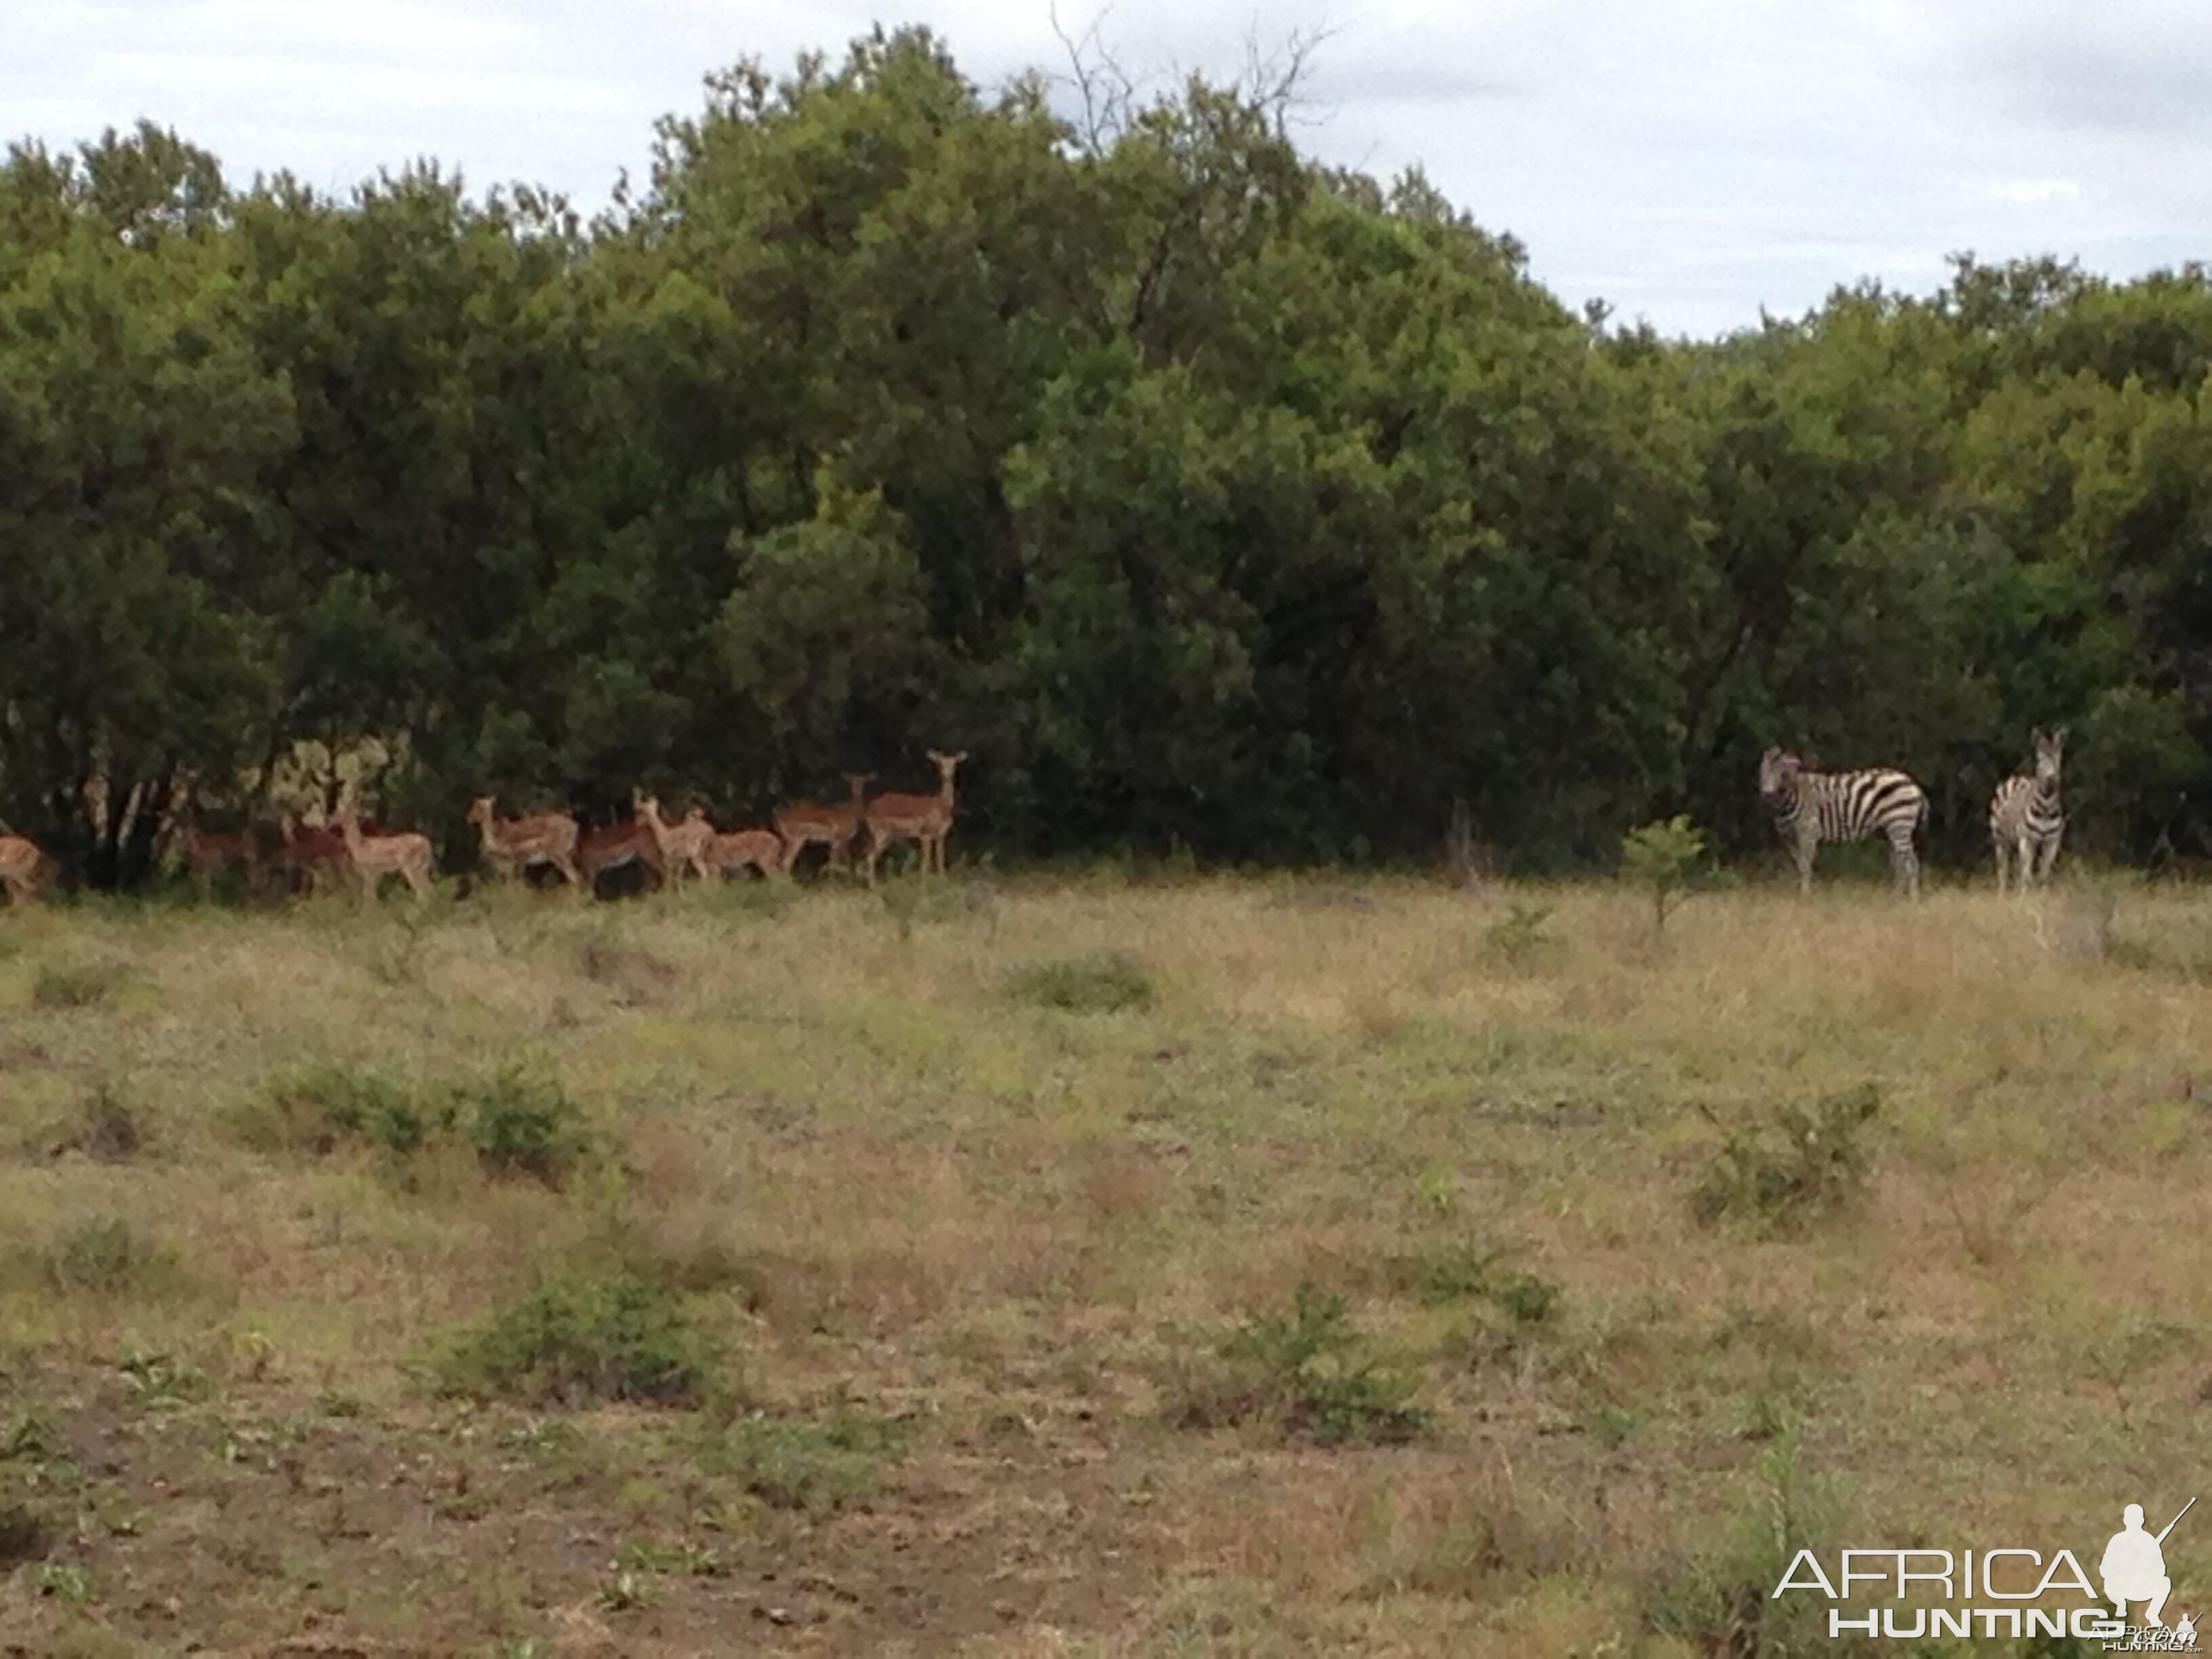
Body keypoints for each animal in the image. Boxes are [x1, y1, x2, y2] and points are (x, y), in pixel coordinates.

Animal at [1752, 752, 1929, 902]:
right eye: (1763, 772)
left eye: (1783, 774)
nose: (1767, 795)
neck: (1791, 799)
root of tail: (1912, 783)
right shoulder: (1789, 838)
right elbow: (1799, 864)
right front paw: (1800, 893)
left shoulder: (1808, 831)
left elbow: (1805, 865)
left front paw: (1806, 896)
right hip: (1887, 832)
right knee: (1900, 864)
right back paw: (1894, 898)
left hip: (1899, 824)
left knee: (1911, 862)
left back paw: (1914, 900)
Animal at [1999, 725, 2062, 898]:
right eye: (2040, 760)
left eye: (2059, 759)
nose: (2051, 779)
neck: (2046, 809)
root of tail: (2019, 777)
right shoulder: (2027, 839)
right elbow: (2026, 873)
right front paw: (2025, 897)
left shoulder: (2052, 842)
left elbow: (2044, 874)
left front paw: (2043, 895)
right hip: (2001, 839)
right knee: (2003, 869)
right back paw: (2002, 894)